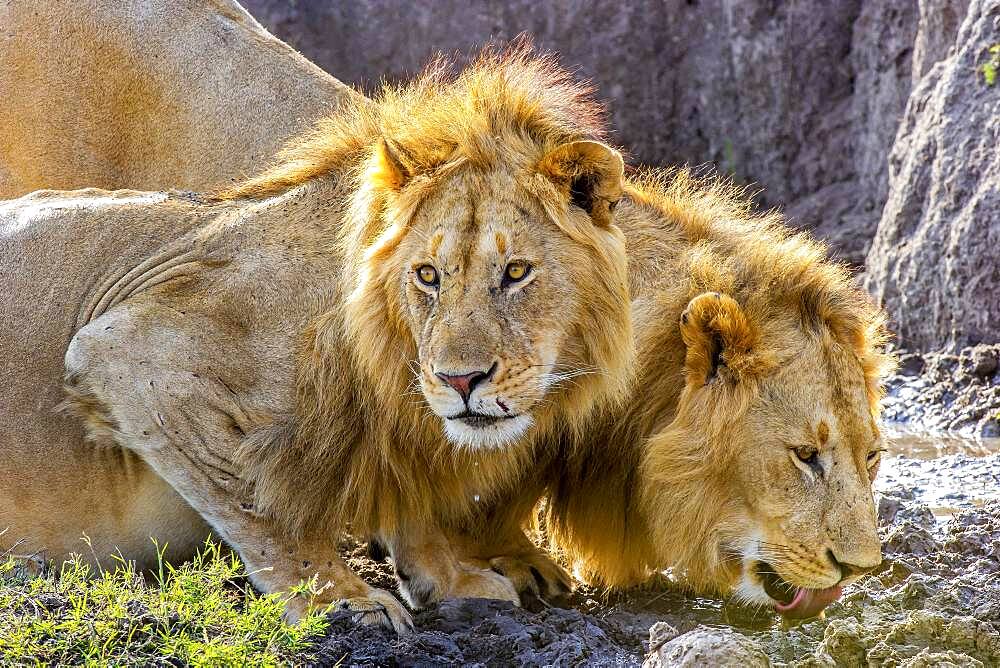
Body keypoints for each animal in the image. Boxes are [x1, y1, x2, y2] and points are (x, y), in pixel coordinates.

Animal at [0, 49, 628, 628]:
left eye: (516, 272)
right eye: (428, 275)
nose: (460, 380)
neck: (383, 347)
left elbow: (408, 492)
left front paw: (450, 576)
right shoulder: (124, 350)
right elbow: (261, 505)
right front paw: (342, 600)